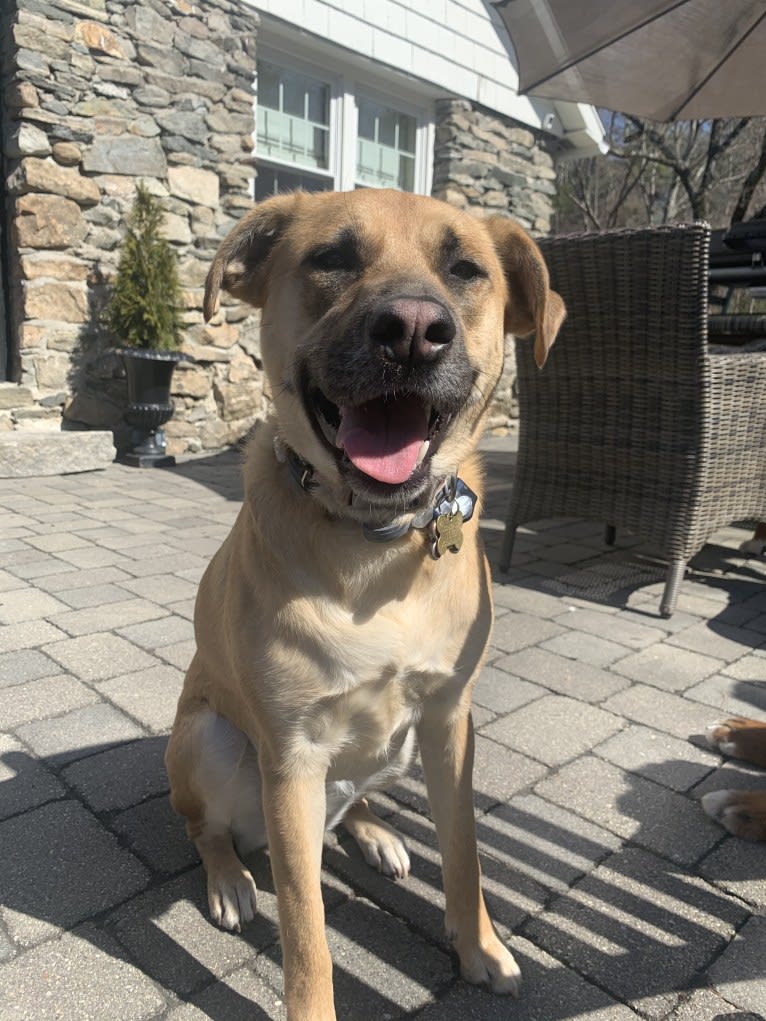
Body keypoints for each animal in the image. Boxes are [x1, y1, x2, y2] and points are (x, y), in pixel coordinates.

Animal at [165, 187, 567, 1016]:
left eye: (465, 268)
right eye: (332, 258)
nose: (412, 331)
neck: (377, 544)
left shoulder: (450, 721)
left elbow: (467, 853)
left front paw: (480, 947)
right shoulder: (291, 758)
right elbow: (305, 930)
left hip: (398, 746)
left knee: (356, 804)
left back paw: (374, 831)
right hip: (210, 741)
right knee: (204, 829)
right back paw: (228, 877)